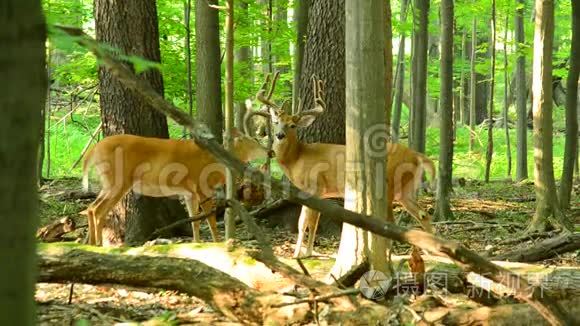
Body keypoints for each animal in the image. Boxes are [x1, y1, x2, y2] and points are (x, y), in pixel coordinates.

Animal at [81, 129, 268, 246]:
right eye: (255, 141)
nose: (270, 151)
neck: (214, 163)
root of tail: (93, 150)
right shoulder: (201, 187)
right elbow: (210, 219)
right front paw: (217, 242)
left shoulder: (189, 193)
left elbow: (195, 220)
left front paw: (197, 243)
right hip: (118, 180)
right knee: (98, 210)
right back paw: (98, 244)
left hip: (107, 182)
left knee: (90, 207)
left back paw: (91, 244)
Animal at [244, 74, 436, 258]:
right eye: (276, 122)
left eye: (292, 125)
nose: (279, 135)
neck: (297, 157)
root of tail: (416, 155)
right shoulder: (322, 194)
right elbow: (314, 222)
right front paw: (308, 252)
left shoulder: (313, 186)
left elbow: (303, 221)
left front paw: (297, 253)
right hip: (406, 189)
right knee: (423, 213)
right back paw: (432, 250)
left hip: (389, 185)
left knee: (392, 221)